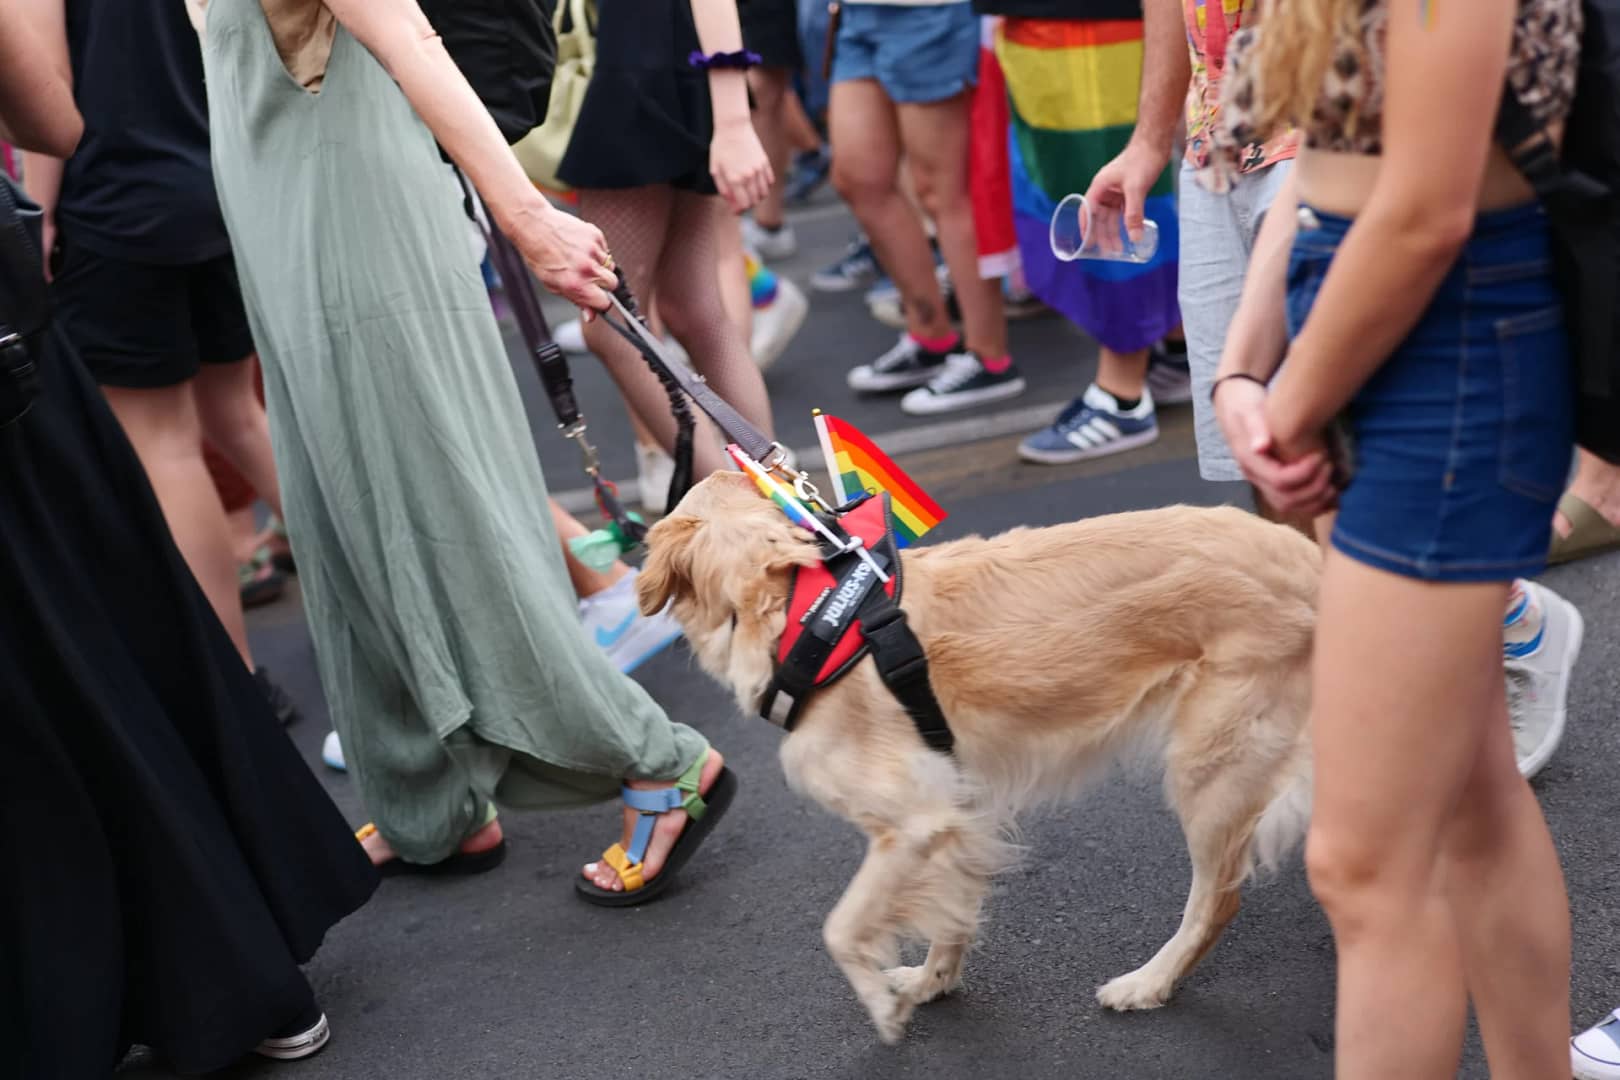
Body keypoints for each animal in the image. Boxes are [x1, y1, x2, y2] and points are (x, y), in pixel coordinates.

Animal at [631, 476, 1315, 1042]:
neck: (801, 614)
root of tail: (1307, 555)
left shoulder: (912, 823)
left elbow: (841, 927)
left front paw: (883, 1008)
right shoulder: (955, 812)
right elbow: (948, 910)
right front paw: (931, 982)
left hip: (1211, 767)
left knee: (1216, 901)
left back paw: (1148, 982)